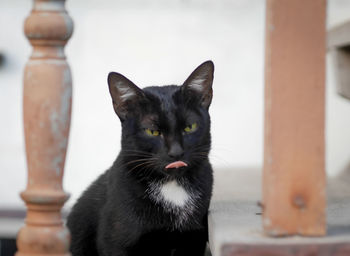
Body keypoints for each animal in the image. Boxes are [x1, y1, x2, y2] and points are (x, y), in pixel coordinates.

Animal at [65, 60, 213, 256]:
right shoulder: (115, 243)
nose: (176, 152)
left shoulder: (193, 240)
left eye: (189, 127)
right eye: (152, 131)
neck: (171, 187)